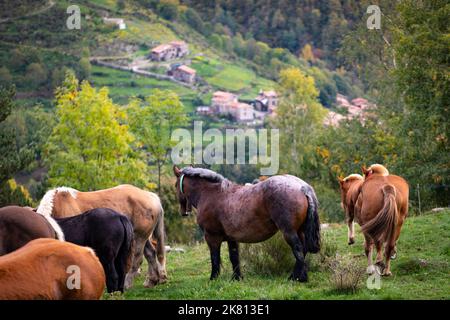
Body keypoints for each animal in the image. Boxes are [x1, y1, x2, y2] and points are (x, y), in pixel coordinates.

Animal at [37, 184, 166, 288]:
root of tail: (151, 196)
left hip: (140, 237)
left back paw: (127, 284)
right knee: (151, 253)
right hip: (140, 236)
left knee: (137, 259)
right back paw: (152, 280)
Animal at [172, 166, 320, 282]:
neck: (210, 193)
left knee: (298, 250)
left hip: (289, 232)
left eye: (175, 185)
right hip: (300, 230)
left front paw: (213, 278)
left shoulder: (211, 237)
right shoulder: (231, 239)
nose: (183, 212)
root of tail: (301, 187)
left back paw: (297, 278)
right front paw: (236, 278)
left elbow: (215, 258)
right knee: (303, 250)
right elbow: (234, 257)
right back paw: (297, 276)